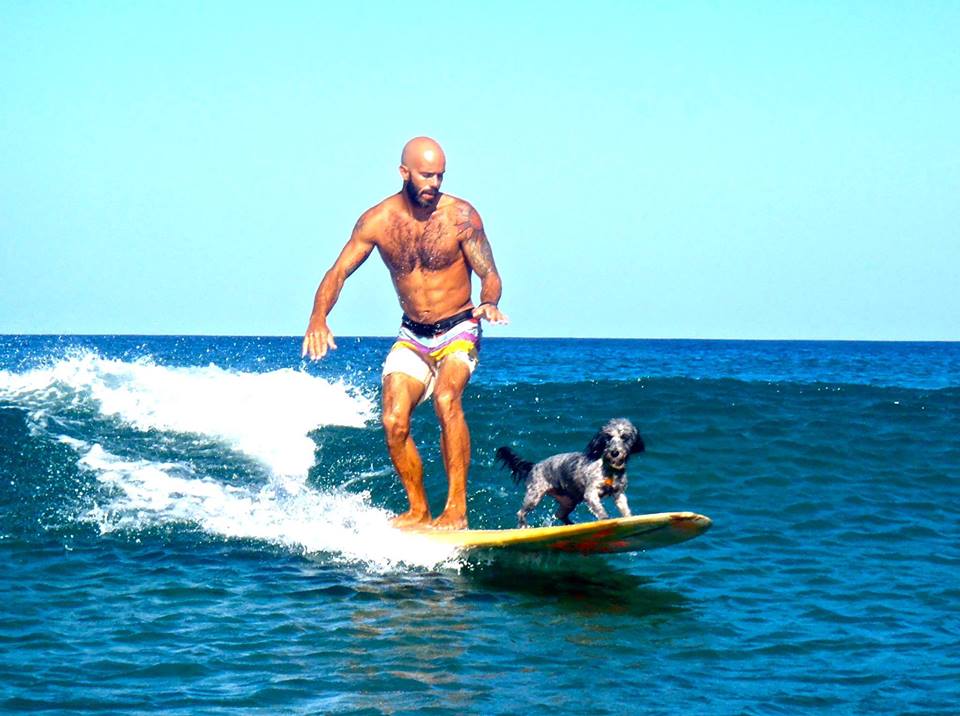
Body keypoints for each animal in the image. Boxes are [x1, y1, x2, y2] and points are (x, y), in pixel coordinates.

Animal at [496, 416, 644, 528]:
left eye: (624, 437)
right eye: (608, 438)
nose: (614, 453)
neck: (610, 470)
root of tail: (534, 466)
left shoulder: (619, 493)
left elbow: (625, 509)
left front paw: (629, 517)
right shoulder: (591, 493)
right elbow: (600, 509)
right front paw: (605, 518)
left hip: (569, 501)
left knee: (559, 515)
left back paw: (570, 524)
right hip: (534, 496)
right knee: (520, 512)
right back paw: (523, 526)